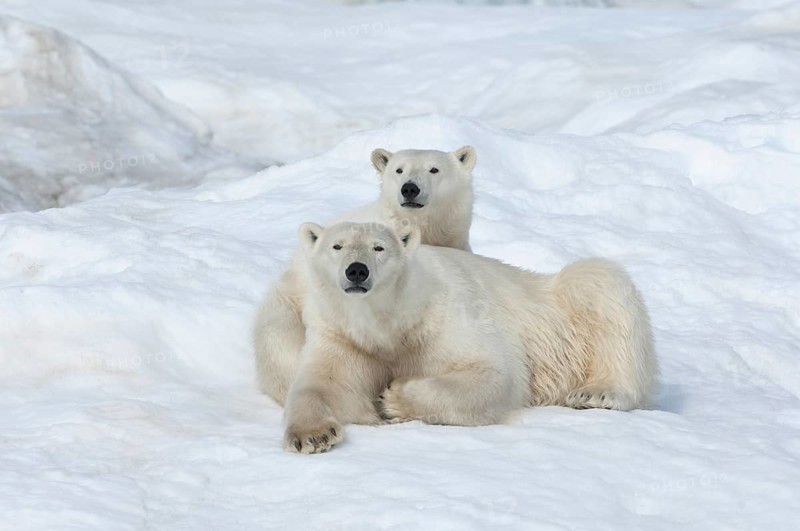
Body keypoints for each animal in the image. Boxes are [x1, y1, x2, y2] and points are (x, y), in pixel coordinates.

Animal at [282, 221, 658, 453]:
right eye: (337, 245)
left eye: (379, 247)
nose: (356, 270)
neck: (391, 324)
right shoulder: (344, 338)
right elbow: (324, 385)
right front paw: (313, 435)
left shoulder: (446, 315)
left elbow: (494, 374)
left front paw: (394, 398)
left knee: (601, 283)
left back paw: (597, 392)